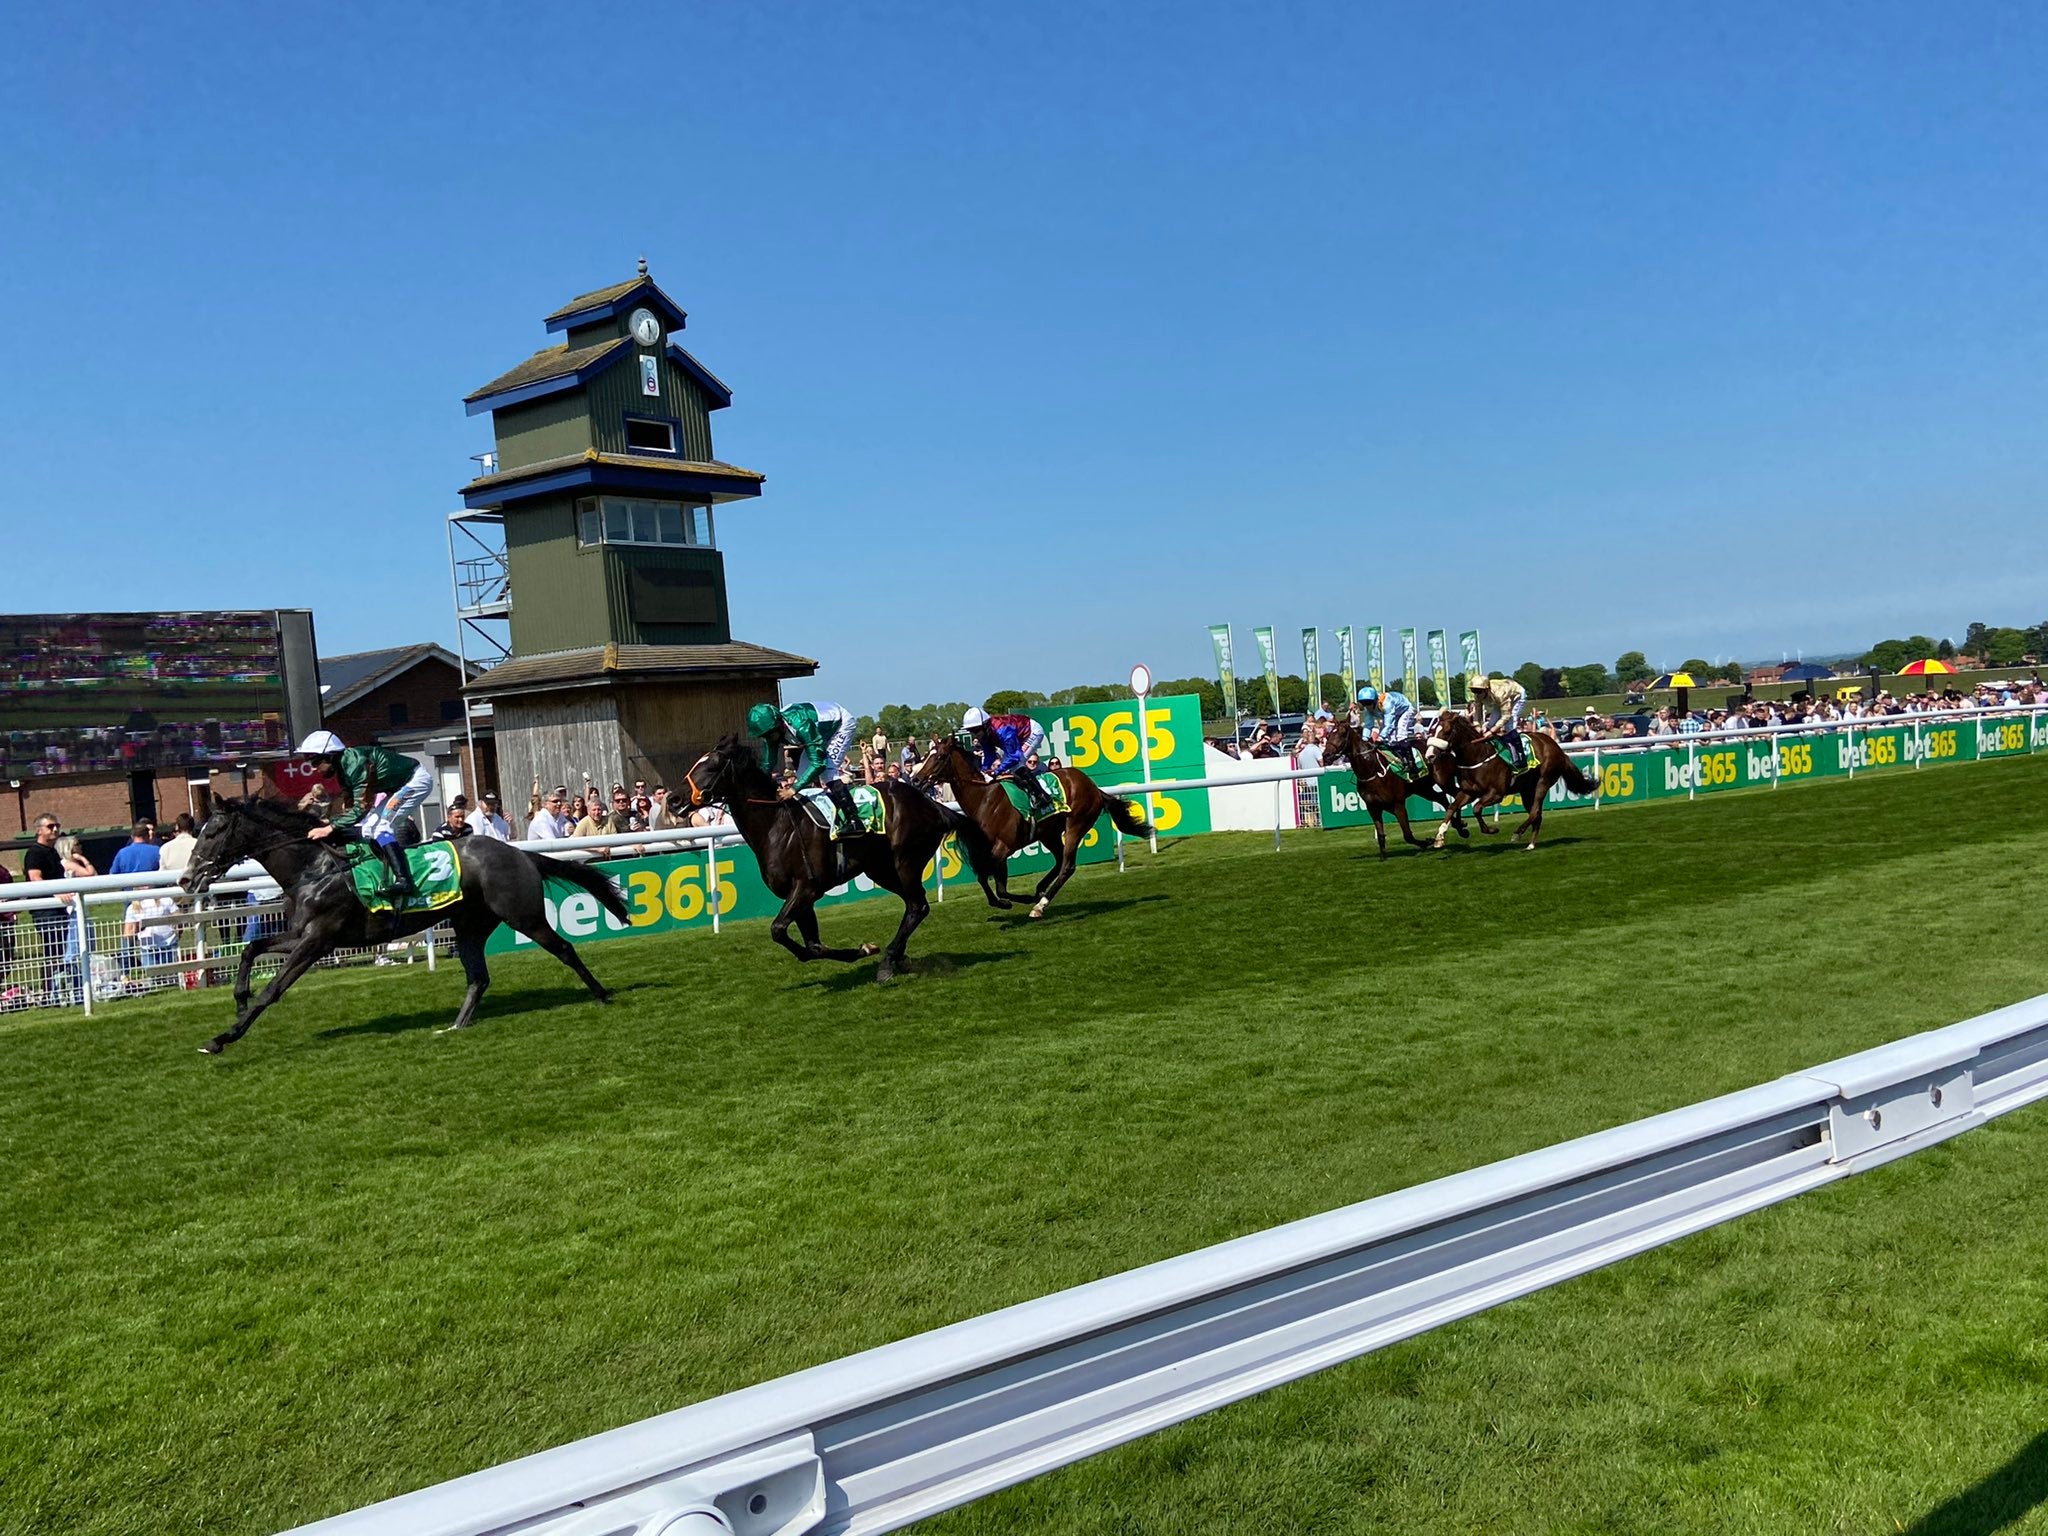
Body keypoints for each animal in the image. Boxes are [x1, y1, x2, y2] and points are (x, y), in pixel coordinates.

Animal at [179, 794, 626, 1056]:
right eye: (199, 832)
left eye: (214, 831)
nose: (186, 878)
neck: (315, 868)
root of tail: (520, 853)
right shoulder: (307, 935)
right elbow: (251, 949)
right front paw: (238, 1001)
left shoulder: (318, 939)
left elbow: (272, 990)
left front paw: (224, 1037)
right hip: (470, 924)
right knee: (478, 977)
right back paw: (455, 1026)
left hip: (522, 914)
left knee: (564, 949)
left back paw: (603, 995)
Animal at [671, 737, 991, 987]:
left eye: (711, 766)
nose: (674, 799)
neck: (777, 825)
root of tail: (933, 805)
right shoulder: (800, 896)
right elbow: (811, 945)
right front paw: (862, 949)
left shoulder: (807, 888)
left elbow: (778, 930)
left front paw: (866, 950)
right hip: (881, 869)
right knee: (916, 906)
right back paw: (898, 956)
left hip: (906, 861)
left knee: (917, 906)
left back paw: (888, 962)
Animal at [913, 729, 1155, 913]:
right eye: (924, 757)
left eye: (939, 756)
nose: (915, 779)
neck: (985, 797)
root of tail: (1094, 787)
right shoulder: (985, 850)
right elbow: (983, 879)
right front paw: (1001, 903)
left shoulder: (1003, 848)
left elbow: (1000, 887)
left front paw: (1019, 900)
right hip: (1049, 832)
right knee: (1059, 859)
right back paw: (1040, 889)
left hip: (1077, 824)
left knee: (1067, 866)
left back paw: (1040, 904)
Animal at [1318, 720, 1466, 860]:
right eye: (1329, 734)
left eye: (1342, 734)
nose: (1326, 755)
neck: (1372, 769)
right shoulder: (1373, 807)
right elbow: (1381, 834)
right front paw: (1383, 857)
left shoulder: (1398, 804)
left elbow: (1407, 835)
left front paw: (1427, 842)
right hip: (1422, 789)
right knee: (1442, 798)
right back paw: (1457, 825)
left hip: (1444, 781)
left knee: (1457, 796)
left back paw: (1460, 826)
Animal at [1425, 712, 1597, 856]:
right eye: (1432, 731)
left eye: (1447, 731)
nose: (1430, 756)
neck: (1478, 757)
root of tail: (1557, 747)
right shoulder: (1468, 792)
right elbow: (1451, 808)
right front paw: (1439, 837)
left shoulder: (1496, 794)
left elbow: (1476, 808)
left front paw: (1491, 829)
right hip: (1526, 789)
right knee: (1537, 815)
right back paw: (1531, 845)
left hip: (1543, 781)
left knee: (1534, 811)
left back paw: (1518, 832)